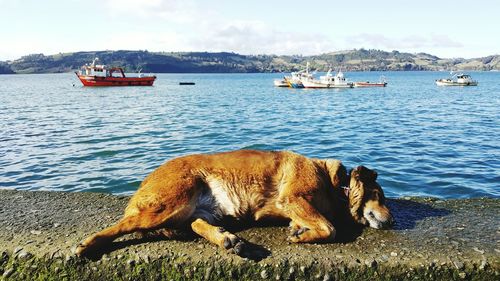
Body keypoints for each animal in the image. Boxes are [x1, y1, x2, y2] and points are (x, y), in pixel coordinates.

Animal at [75, 150, 394, 255]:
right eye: (379, 195)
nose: (392, 220)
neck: (335, 184)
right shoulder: (293, 198)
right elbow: (330, 228)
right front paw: (302, 236)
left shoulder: (298, 207)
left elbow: (317, 223)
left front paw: (299, 230)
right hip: (171, 200)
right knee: (123, 224)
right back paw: (89, 244)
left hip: (208, 210)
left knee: (196, 223)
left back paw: (226, 239)